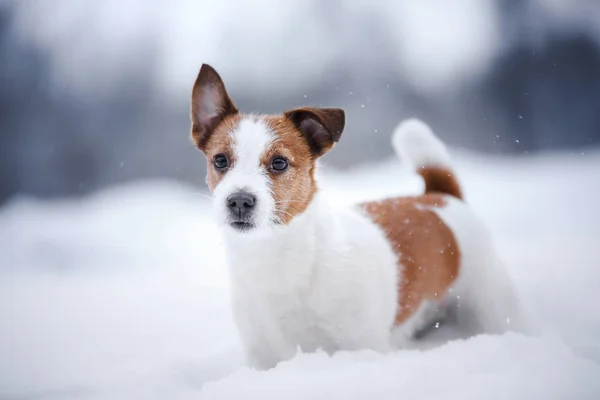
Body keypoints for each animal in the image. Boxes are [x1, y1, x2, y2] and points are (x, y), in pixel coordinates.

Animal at [189, 63, 524, 372]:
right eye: (220, 160)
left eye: (280, 163)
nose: (239, 200)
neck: (281, 261)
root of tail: (438, 196)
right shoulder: (263, 357)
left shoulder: (364, 345)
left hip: (492, 308)